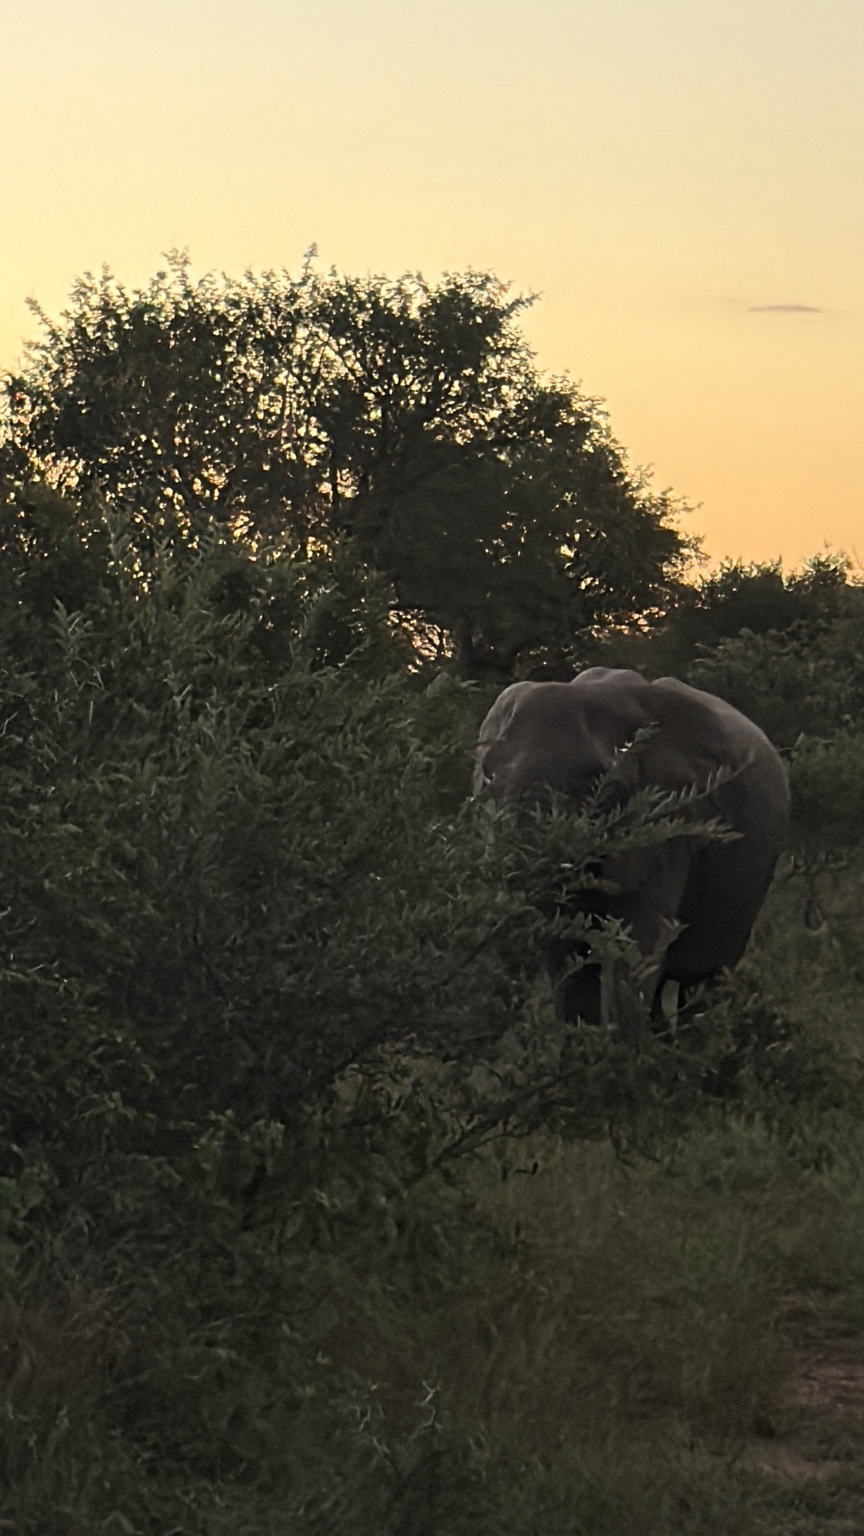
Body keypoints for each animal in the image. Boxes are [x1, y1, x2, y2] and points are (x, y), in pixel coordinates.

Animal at [473, 667, 790, 1027]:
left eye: (594, 783)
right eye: (487, 775)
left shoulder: (669, 821)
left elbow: (632, 953)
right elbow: (566, 960)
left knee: (704, 981)